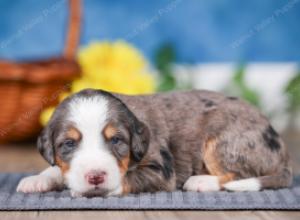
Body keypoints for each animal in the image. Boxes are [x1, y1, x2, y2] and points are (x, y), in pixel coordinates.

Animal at [16, 88, 292, 197]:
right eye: (69, 144)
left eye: (116, 140)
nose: (95, 177)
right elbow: (56, 169)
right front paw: (36, 180)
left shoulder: (161, 171)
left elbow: (127, 178)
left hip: (223, 142)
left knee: (237, 174)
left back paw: (201, 182)